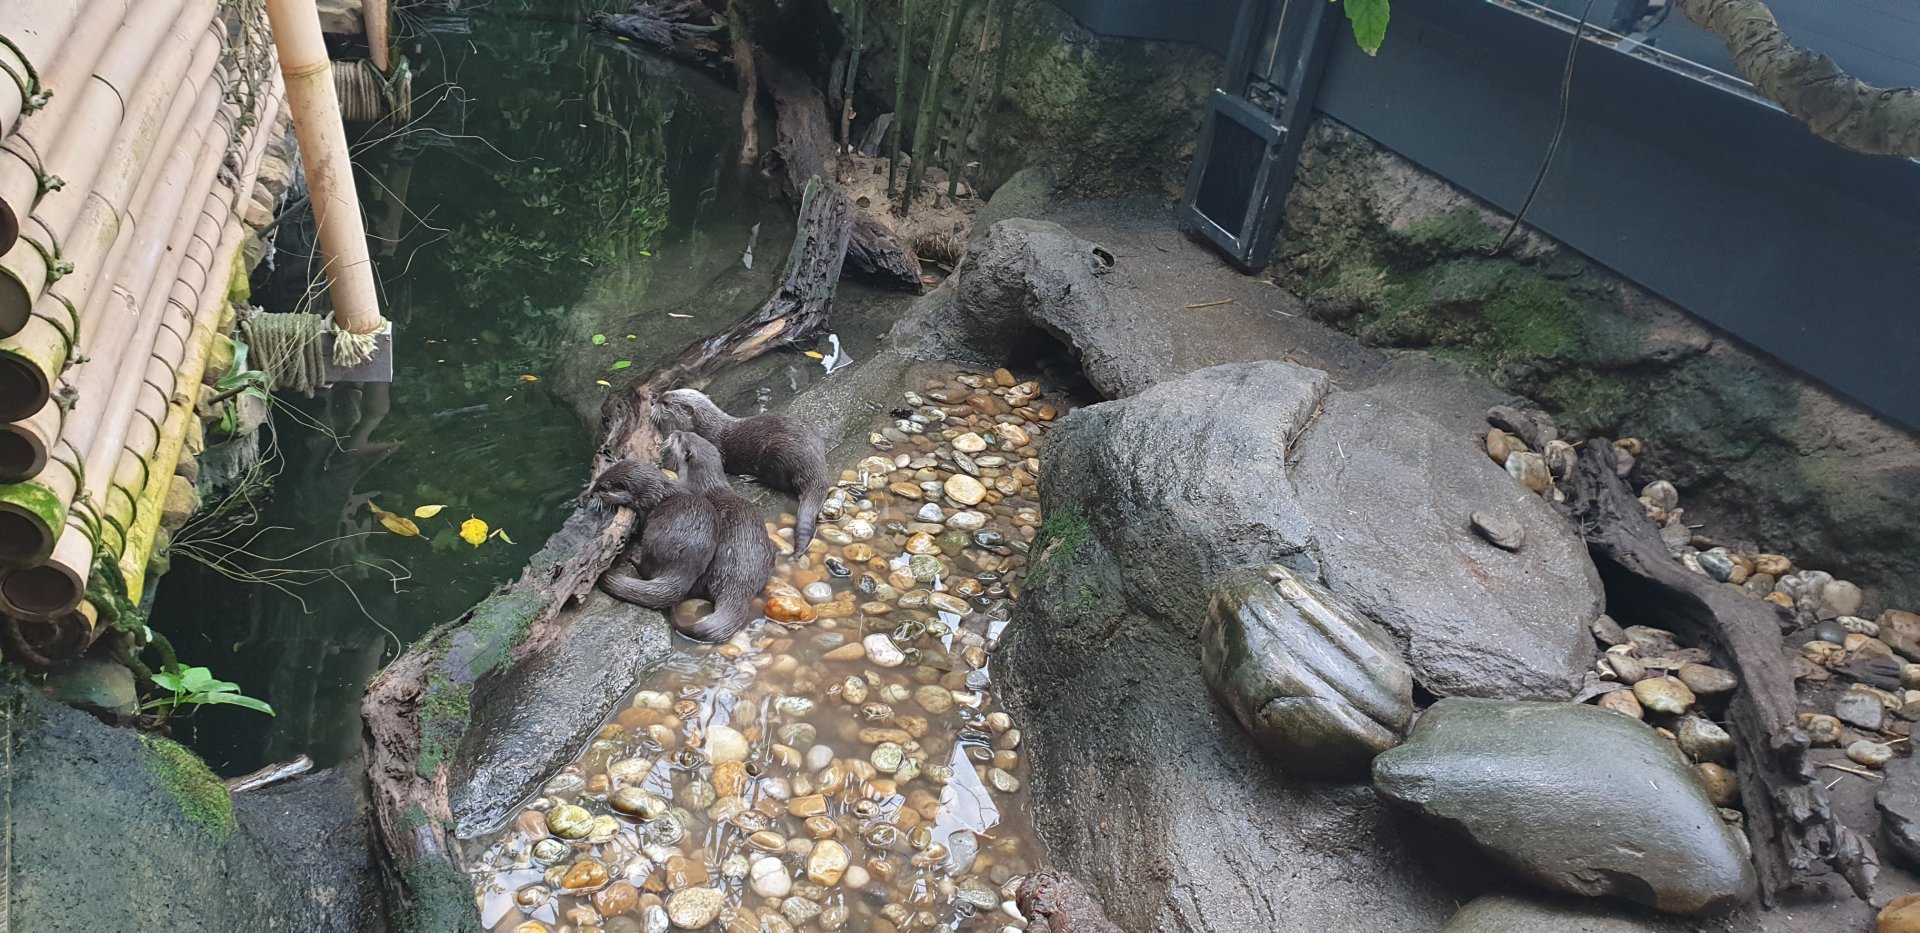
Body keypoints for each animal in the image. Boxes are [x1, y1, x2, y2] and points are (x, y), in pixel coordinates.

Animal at [589, 459, 717, 611]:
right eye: (598, 478)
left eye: (602, 487)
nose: (590, 493)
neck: (654, 492)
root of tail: (680, 569)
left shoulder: (645, 509)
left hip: (652, 539)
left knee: (646, 570)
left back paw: (633, 558)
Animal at [652, 387, 831, 555]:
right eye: (664, 393)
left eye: (666, 403)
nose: (653, 401)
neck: (708, 428)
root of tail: (813, 463)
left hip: (778, 451)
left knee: (777, 481)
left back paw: (751, 477)